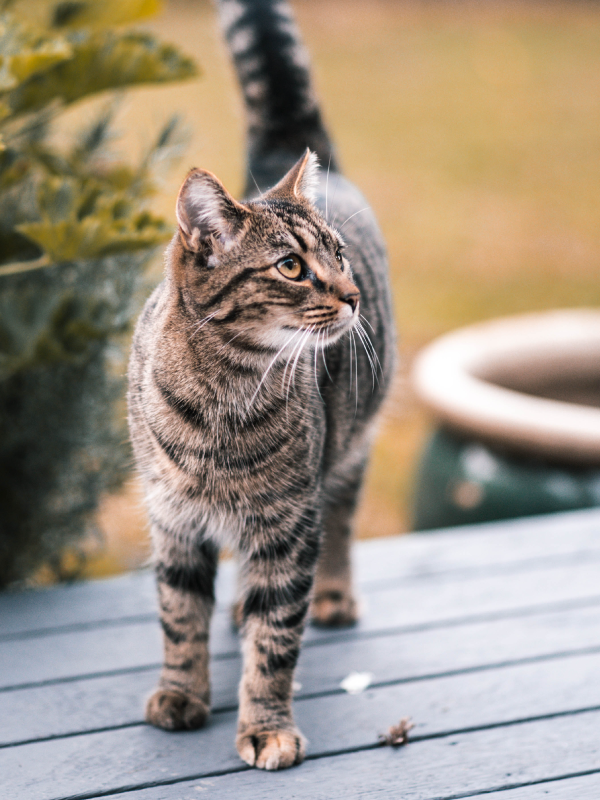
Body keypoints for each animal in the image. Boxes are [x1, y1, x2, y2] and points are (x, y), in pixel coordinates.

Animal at [127, 0, 394, 772]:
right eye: (291, 267)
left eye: (338, 254)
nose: (352, 295)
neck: (223, 396)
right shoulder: (173, 520)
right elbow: (178, 616)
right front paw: (182, 693)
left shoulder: (287, 526)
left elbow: (276, 643)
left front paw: (266, 724)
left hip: (350, 448)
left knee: (341, 519)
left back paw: (331, 596)